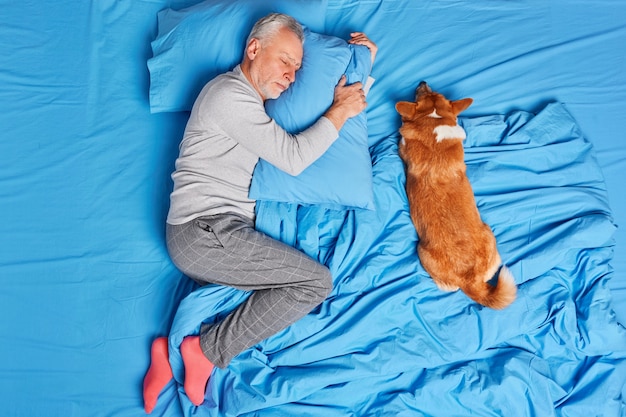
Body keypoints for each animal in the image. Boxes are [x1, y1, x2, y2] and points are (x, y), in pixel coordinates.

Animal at [398, 82, 516, 308]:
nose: (422, 81)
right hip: (489, 233)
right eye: (433, 92)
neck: (434, 120)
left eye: (422, 94)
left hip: (421, 252)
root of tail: (471, 281)